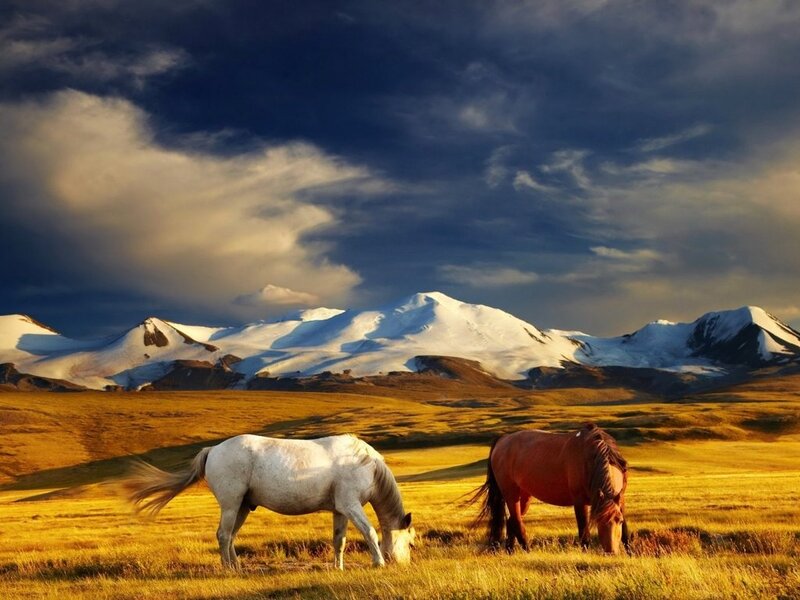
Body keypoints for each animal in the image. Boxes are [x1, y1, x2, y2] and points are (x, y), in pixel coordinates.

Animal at [123, 434, 415, 570]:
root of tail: (213, 449)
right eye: (411, 543)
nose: (403, 564)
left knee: (230, 536)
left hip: (242, 507)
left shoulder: (341, 510)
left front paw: (338, 567)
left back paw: (237, 566)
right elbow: (370, 532)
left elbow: (338, 541)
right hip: (231, 505)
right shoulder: (352, 507)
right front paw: (378, 562)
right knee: (223, 535)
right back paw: (229, 569)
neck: (366, 464)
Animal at [471, 423, 629, 554]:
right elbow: (584, 531)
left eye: (619, 521)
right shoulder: (580, 502)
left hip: (524, 496)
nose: (611, 552)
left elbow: (626, 532)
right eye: (598, 521)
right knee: (517, 522)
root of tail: (503, 439)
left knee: (511, 521)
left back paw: (511, 551)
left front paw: (630, 552)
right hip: (511, 494)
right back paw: (527, 551)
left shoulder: (620, 500)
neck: (591, 457)